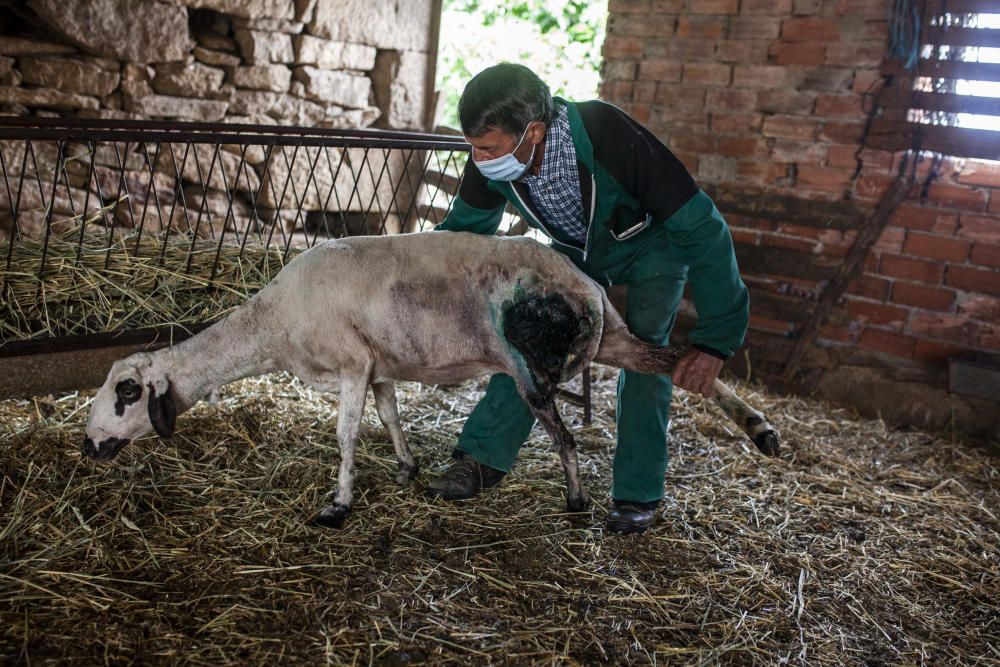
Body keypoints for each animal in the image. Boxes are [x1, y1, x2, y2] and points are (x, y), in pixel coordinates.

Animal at [82, 232, 776, 528]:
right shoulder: (377, 366)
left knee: (564, 436)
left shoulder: (350, 364)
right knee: (672, 361)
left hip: (530, 365)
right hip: (612, 340)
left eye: (125, 393)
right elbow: (389, 417)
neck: (274, 325)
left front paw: (338, 506)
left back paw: (579, 501)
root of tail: (588, 289)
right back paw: (759, 427)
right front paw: (407, 469)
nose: (88, 446)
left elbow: (345, 437)